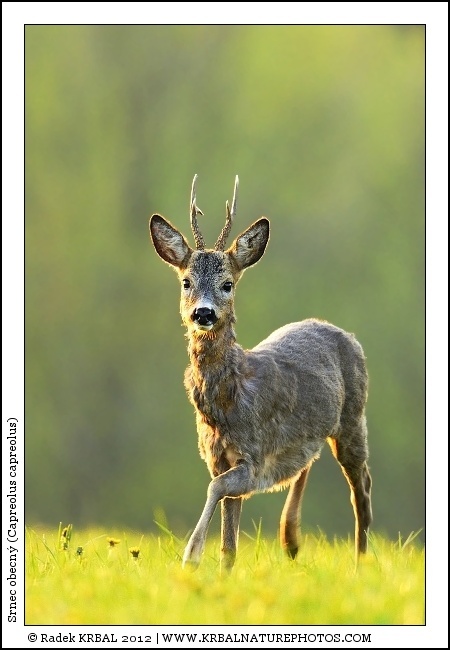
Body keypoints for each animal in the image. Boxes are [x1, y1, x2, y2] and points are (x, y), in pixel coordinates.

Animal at [149, 175, 372, 571]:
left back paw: (360, 565)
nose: (203, 313)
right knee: (307, 462)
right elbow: (229, 541)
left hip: (353, 418)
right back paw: (290, 539)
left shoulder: (253, 458)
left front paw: (191, 555)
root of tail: (347, 335)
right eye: (186, 282)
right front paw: (221, 571)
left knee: (361, 487)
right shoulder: (216, 459)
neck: (228, 402)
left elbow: (217, 490)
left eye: (227, 284)